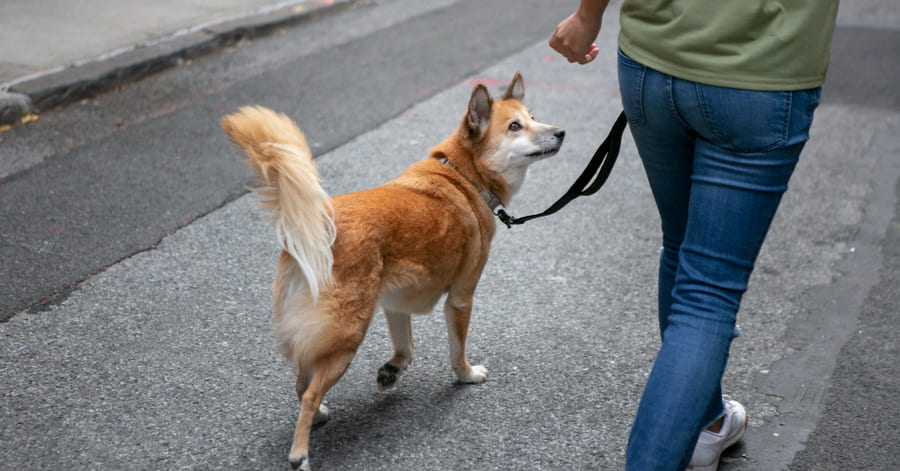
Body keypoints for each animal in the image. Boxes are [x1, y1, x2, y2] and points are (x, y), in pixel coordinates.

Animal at [221, 72, 564, 470]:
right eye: (514, 126)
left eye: (534, 117)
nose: (560, 132)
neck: (463, 175)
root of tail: (318, 224)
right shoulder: (461, 298)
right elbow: (456, 352)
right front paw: (467, 376)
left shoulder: (396, 303)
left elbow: (406, 348)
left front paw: (392, 370)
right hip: (347, 335)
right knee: (307, 391)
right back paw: (300, 454)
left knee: (301, 381)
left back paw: (319, 415)